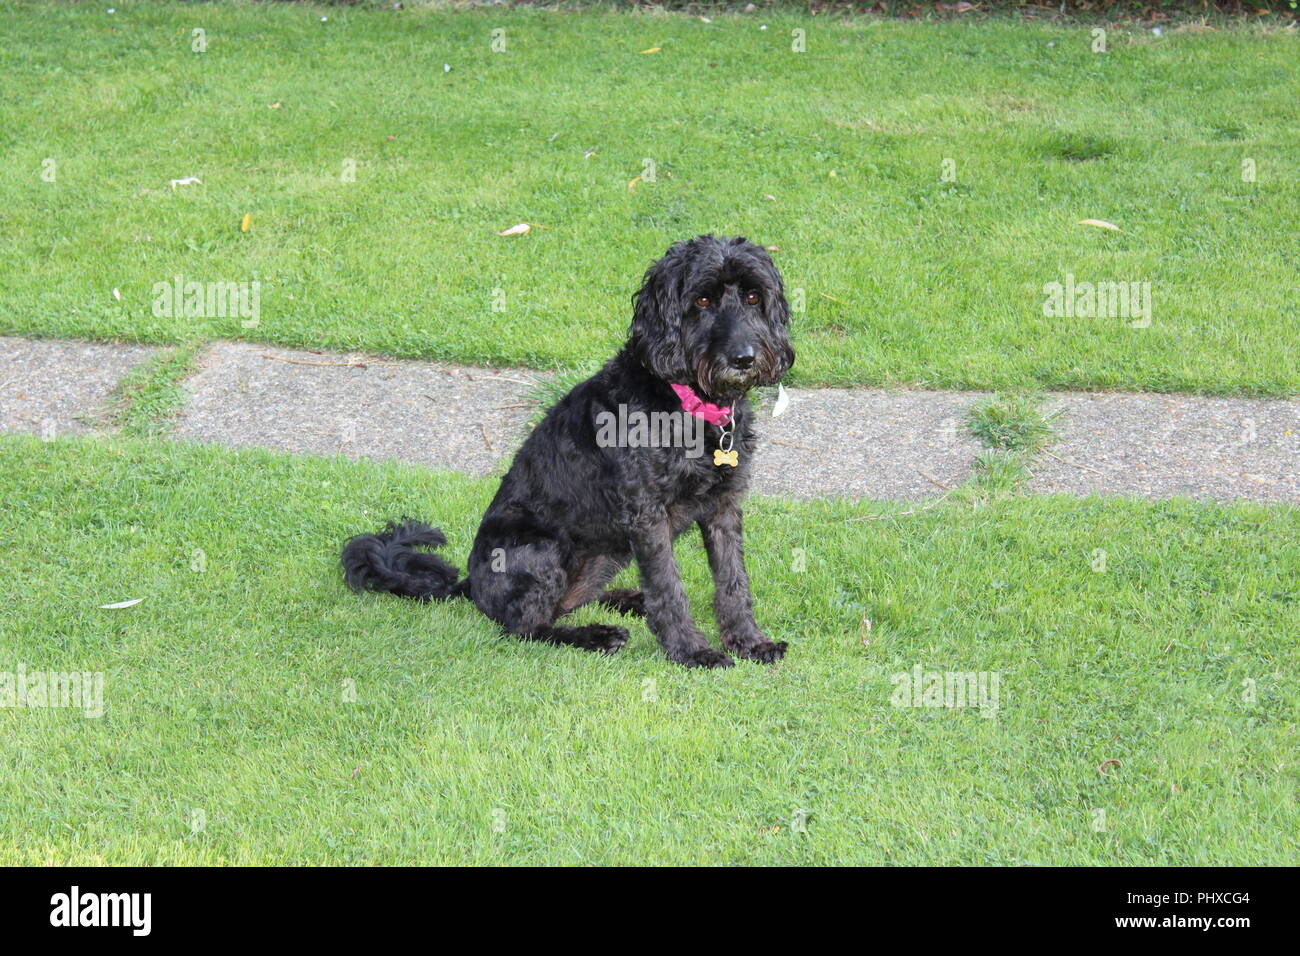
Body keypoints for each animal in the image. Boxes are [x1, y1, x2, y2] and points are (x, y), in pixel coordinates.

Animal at [340, 234, 790, 665]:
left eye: (753, 297)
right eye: (702, 300)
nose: (743, 357)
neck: (688, 405)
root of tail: (471, 586)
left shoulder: (723, 505)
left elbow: (733, 580)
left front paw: (749, 641)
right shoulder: (647, 514)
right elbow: (668, 586)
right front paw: (692, 651)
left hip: (606, 553)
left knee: (570, 602)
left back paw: (629, 600)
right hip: (542, 547)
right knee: (525, 627)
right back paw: (595, 635)